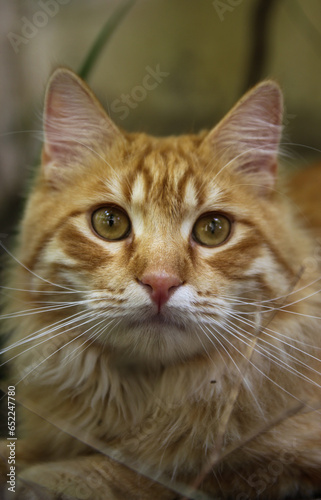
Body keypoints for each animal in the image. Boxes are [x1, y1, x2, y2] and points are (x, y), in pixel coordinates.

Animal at [0, 67, 320, 500]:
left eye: (214, 229)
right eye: (109, 222)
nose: (160, 282)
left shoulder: (278, 461)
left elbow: (147, 470)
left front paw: (53, 477)